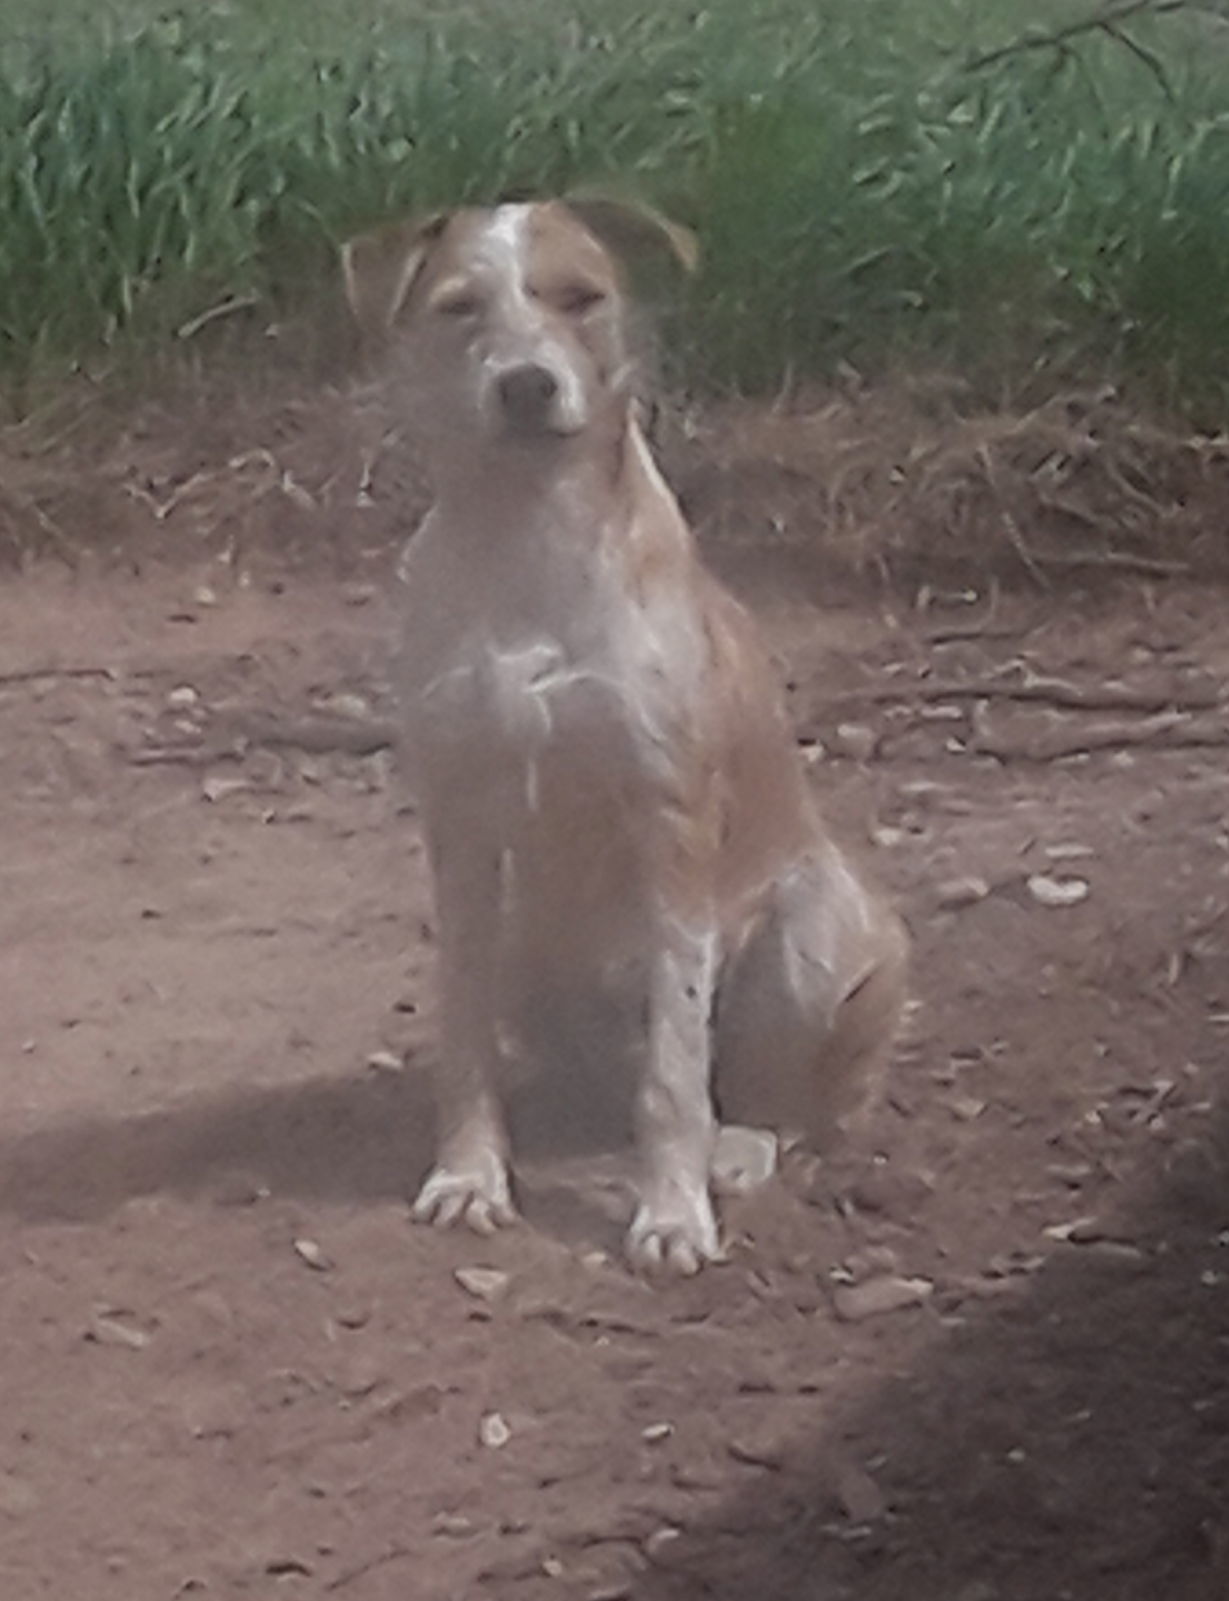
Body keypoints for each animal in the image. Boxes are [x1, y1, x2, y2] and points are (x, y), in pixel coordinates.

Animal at [340, 196, 908, 1274]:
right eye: (459, 306)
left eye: (580, 297)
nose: (525, 384)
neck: (529, 537)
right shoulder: (460, 832)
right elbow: (463, 1035)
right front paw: (469, 1173)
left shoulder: (668, 825)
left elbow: (674, 1073)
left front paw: (671, 1211)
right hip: (524, 950)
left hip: (812, 929)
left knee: (783, 1097)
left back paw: (738, 1147)